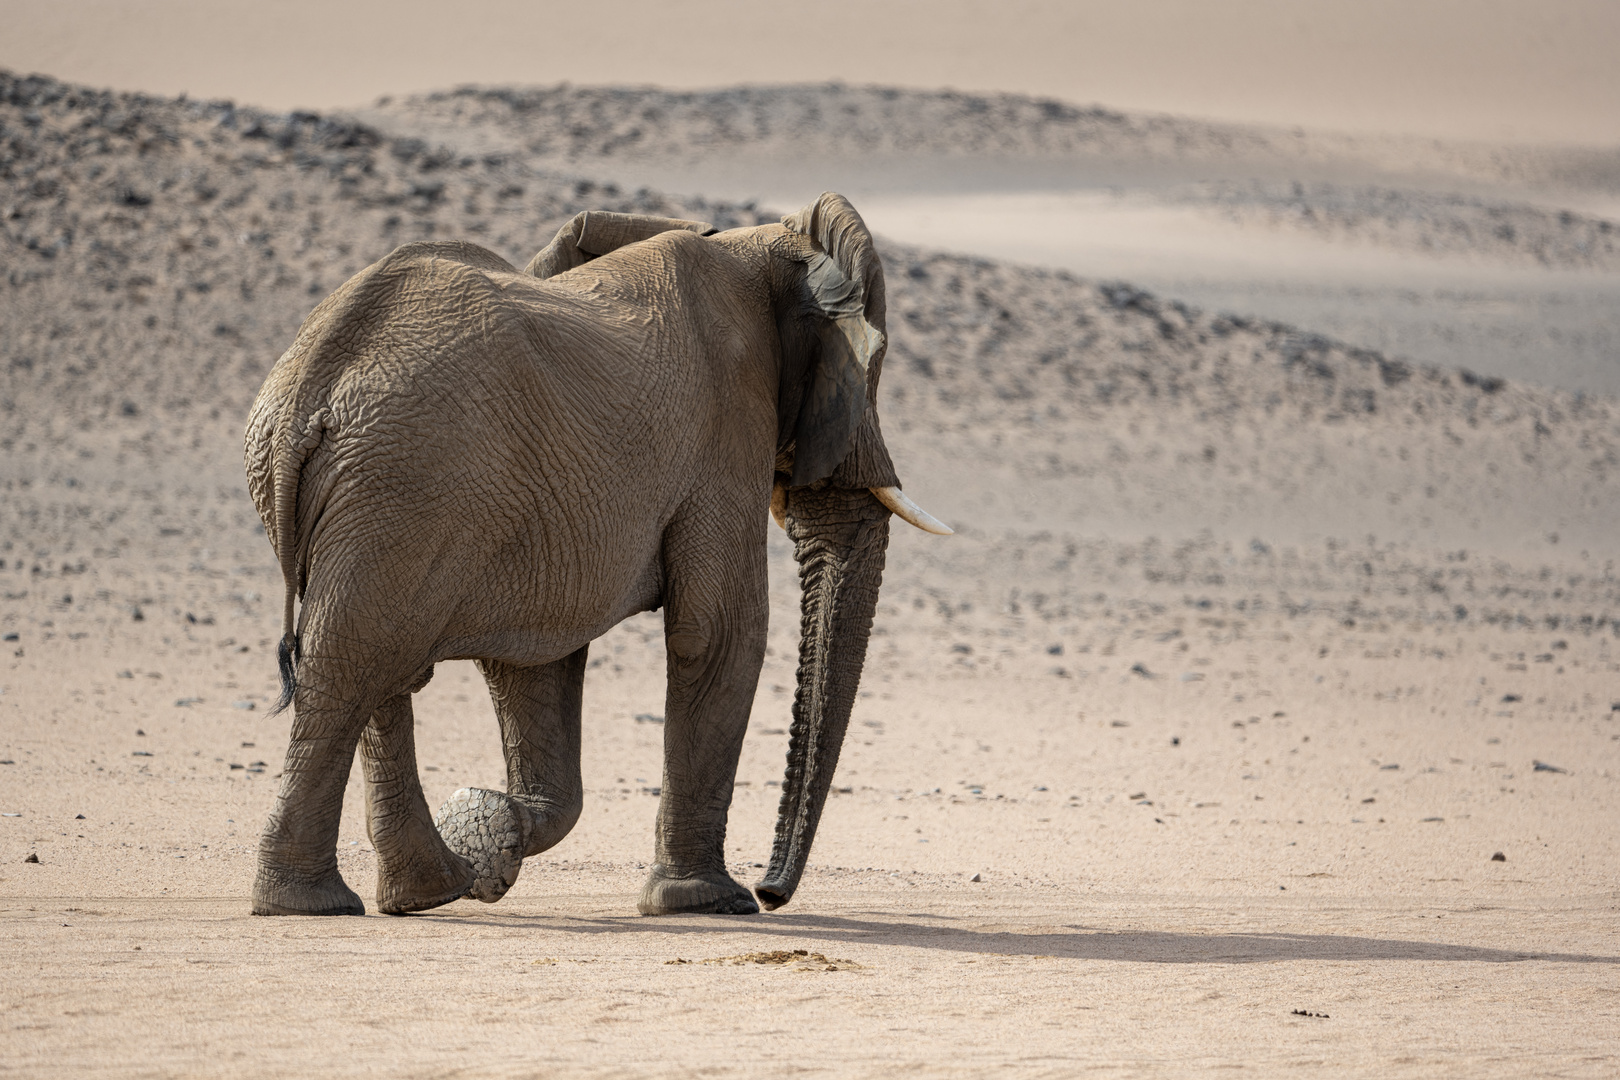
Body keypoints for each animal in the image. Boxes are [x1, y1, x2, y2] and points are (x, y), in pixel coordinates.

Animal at [241, 190, 946, 919]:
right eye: (871, 373)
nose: (770, 892)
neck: (760, 242)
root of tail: (309, 390)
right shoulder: (727, 426)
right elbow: (719, 633)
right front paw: (705, 902)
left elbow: (535, 658)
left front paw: (492, 829)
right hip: (406, 482)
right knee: (354, 664)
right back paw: (317, 904)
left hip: (383, 494)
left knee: (375, 663)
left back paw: (419, 892)